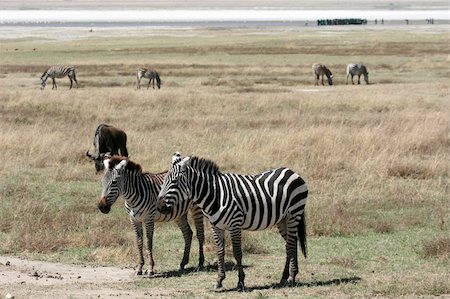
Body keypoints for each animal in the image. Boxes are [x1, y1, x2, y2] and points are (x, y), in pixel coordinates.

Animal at [156, 154, 308, 292]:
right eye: (164, 181)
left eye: (174, 181)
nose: (159, 207)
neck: (216, 194)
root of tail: (291, 171)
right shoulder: (216, 227)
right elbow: (220, 252)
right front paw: (219, 281)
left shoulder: (235, 224)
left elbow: (237, 253)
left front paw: (240, 282)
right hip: (282, 219)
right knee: (291, 242)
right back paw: (287, 276)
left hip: (294, 213)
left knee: (290, 244)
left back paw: (289, 277)